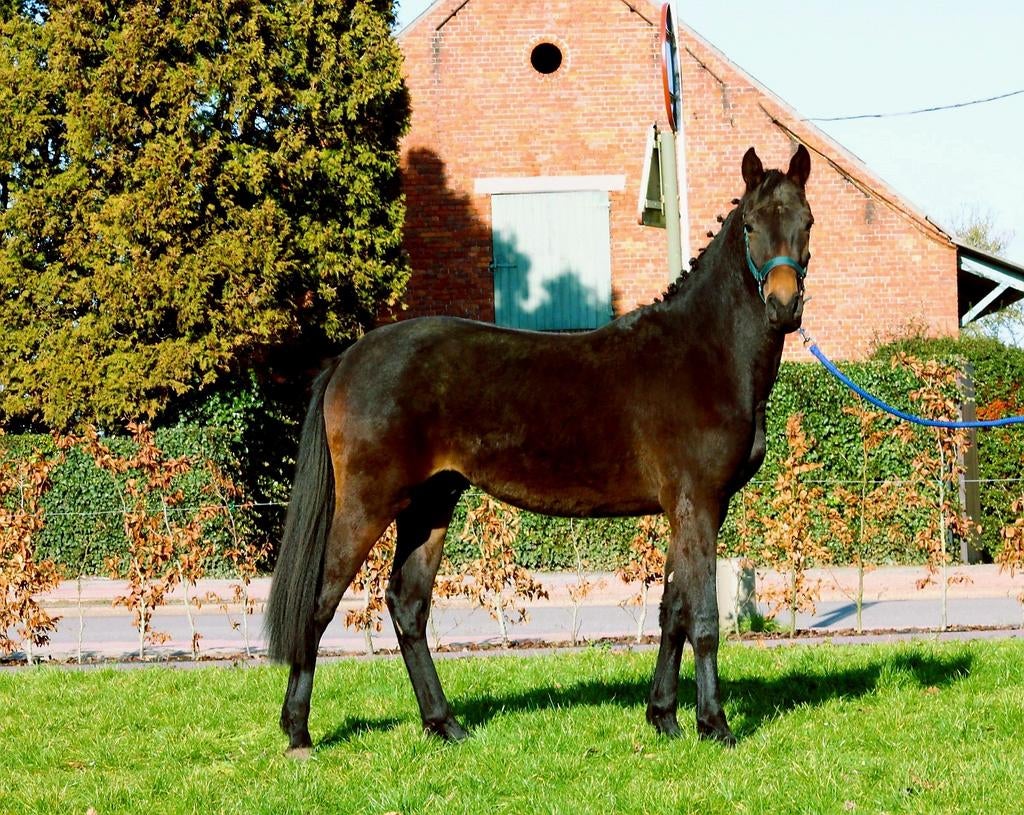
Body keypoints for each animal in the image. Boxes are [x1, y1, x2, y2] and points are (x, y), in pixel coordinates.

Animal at [265, 144, 813, 756]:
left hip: (430, 505)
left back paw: (444, 723)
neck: (703, 352)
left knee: (407, 606)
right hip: (367, 504)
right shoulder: (699, 504)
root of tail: (347, 359)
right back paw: (298, 731)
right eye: (751, 225)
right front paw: (714, 724)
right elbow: (704, 620)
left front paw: (664, 718)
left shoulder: (685, 511)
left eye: (807, 222)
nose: (783, 306)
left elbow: (672, 611)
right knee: (319, 605)